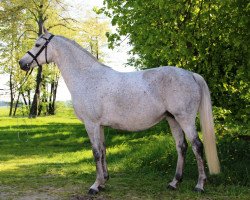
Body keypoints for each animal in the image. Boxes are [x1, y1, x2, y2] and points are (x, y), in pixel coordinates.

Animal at [18, 28, 220, 195]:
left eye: (37, 45)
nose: (22, 63)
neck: (87, 77)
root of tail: (191, 74)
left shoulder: (91, 124)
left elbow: (95, 152)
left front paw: (94, 186)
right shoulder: (99, 125)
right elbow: (102, 150)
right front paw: (103, 182)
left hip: (185, 118)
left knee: (197, 145)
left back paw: (199, 185)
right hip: (173, 119)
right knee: (181, 146)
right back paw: (174, 183)